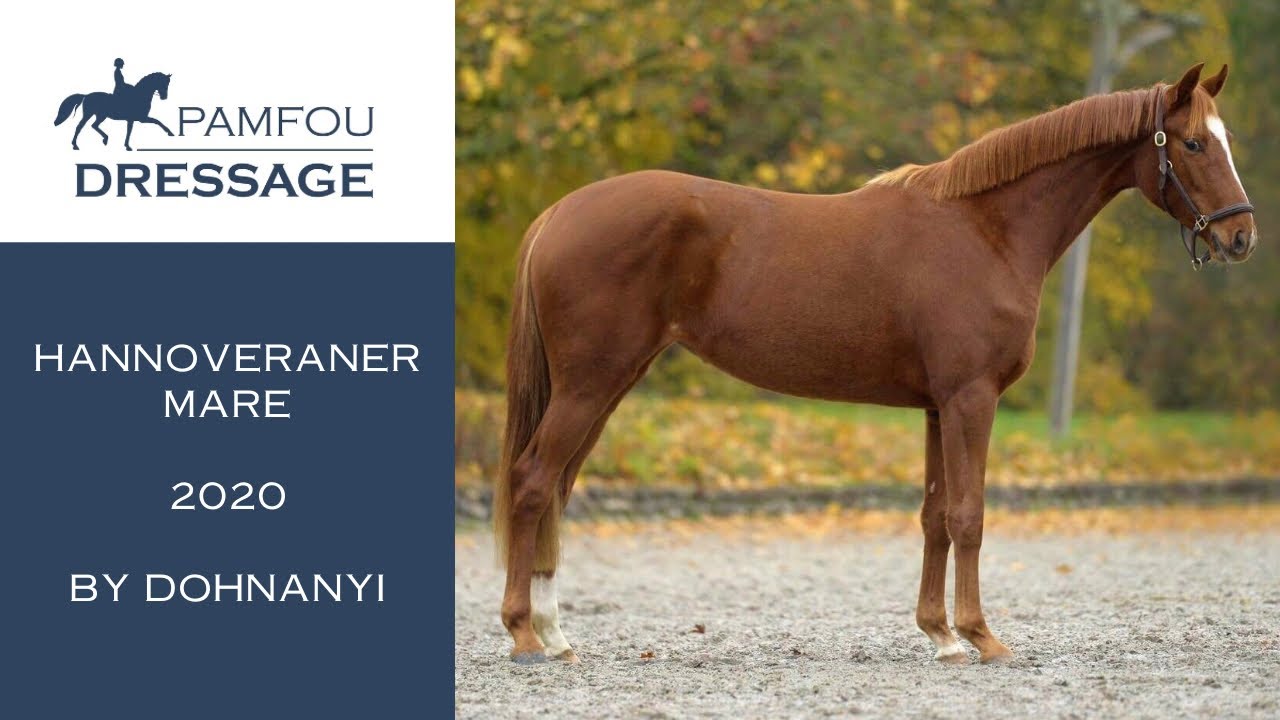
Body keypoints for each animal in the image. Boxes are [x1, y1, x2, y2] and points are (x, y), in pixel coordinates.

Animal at [491, 63, 1256, 666]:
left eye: (1223, 141)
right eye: (1192, 143)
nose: (1242, 236)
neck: (985, 229)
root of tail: (560, 212)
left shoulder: (937, 405)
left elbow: (935, 515)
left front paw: (941, 636)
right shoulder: (972, 398)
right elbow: (970, 515)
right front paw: (982, 637)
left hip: (607, 384)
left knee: (558, 488)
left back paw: (556, 634)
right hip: (590, 385)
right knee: (533, 482)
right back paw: (525, 635)